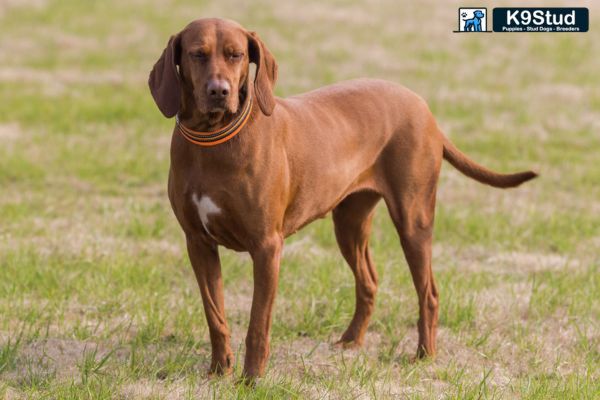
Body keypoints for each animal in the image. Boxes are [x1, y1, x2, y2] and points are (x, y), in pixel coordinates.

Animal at [148, 18, 536, 380]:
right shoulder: (198, 243)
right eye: (197, 54)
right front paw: (219, 371)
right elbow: (215, 315)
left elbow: (258, 324)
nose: (219, 91)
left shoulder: (267, 247)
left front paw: (252, 379)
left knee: (429, 292)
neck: (213, 140)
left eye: (236, 54)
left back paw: (425, 355)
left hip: (413, 219)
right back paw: (351, 341)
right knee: (369, 281)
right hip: (349, 223)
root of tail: (425, 109)